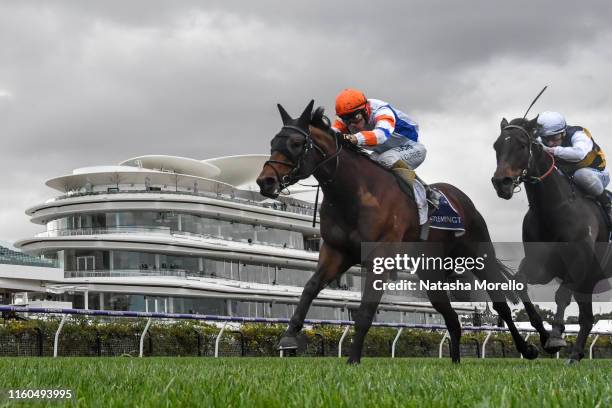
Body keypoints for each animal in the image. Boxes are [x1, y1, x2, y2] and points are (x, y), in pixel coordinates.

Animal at [256, 101, 544, 364]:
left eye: (296, 142)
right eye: (272, 141)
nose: (265, 181)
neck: (354, 193)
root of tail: (462, 199)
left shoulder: (380, 257)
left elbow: (366, 310)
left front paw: (353, 360)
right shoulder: (335, 251)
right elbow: (309, 288)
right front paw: (289, 337)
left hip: (478, 255)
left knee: (501, 304)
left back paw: (529, 348)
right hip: (431, 272)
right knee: (452, 317)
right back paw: (455, 362)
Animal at [492, 116, 612, 362]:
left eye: (522, 145)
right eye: (496, 146)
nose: (501, 183)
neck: (554, 209)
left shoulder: (578, 264)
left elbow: (562, 295)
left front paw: (556, 336)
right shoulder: (541, 267)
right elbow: (520, 283)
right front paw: (544, 337)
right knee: (587, 319)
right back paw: (575, 356)